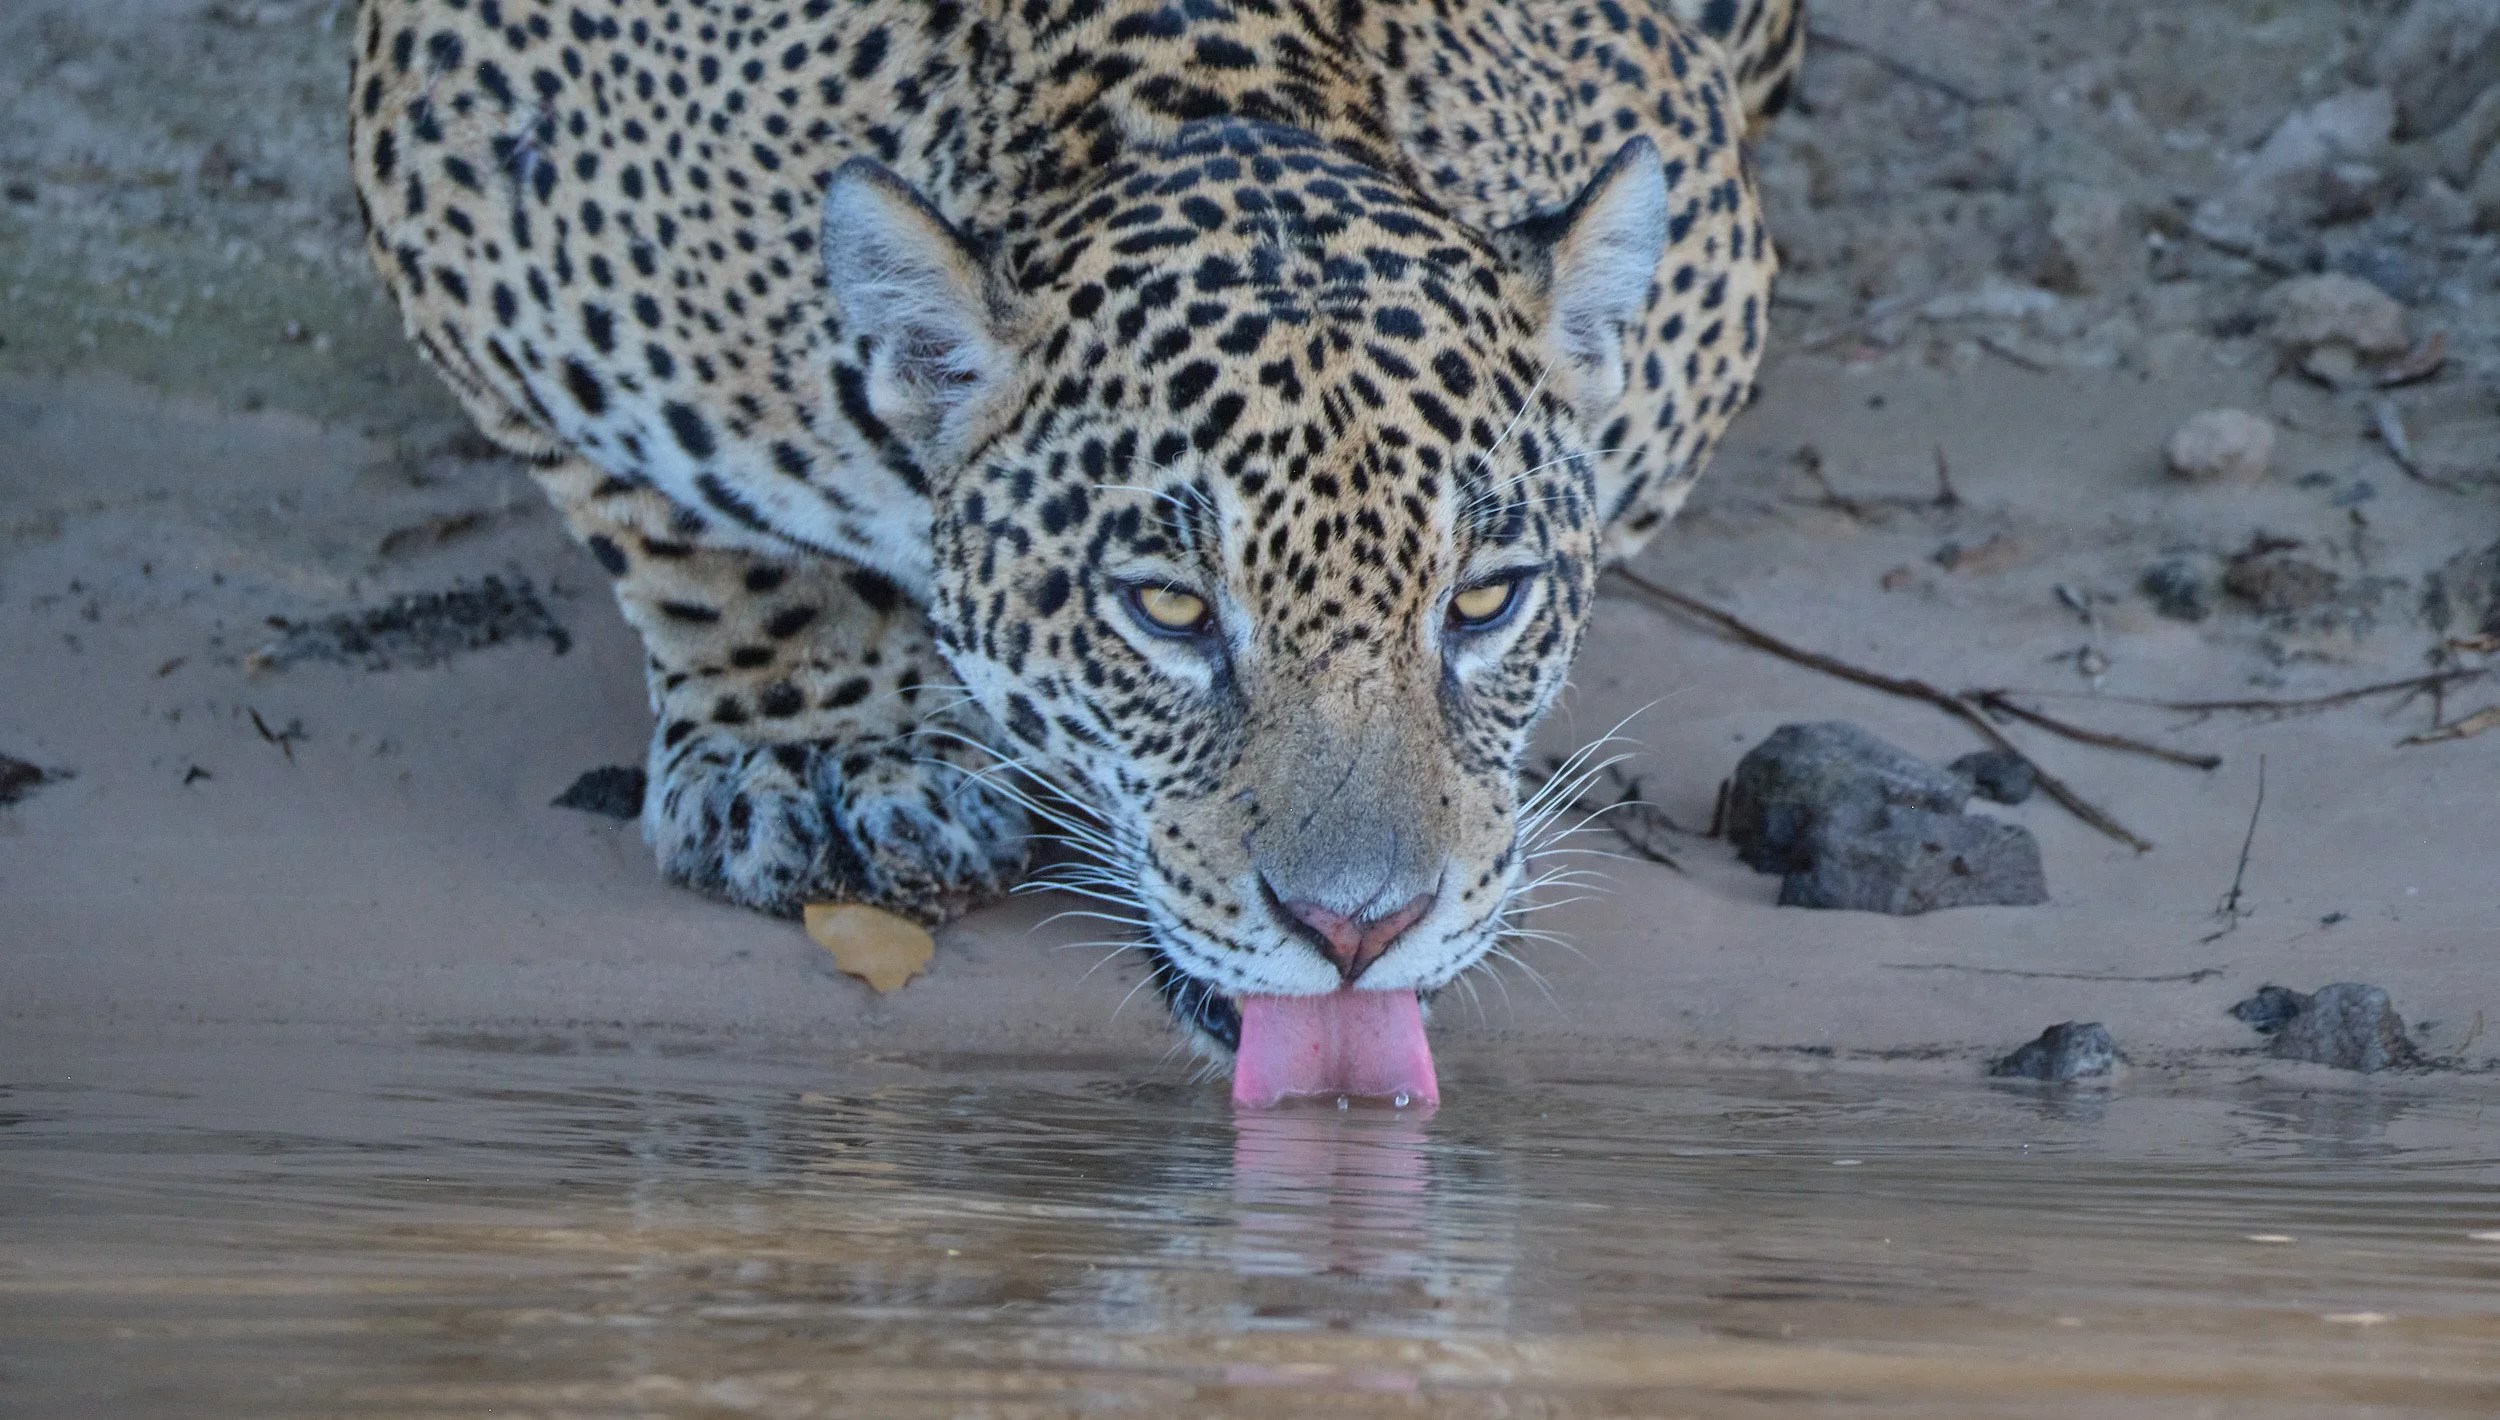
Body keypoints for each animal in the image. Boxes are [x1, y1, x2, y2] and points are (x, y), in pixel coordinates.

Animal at [348, 0, 1800, 1064]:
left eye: (1486, 601)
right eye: (1169, 611)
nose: (1355, 932)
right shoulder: (460, 162)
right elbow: (687, 537)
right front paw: (820, 752)